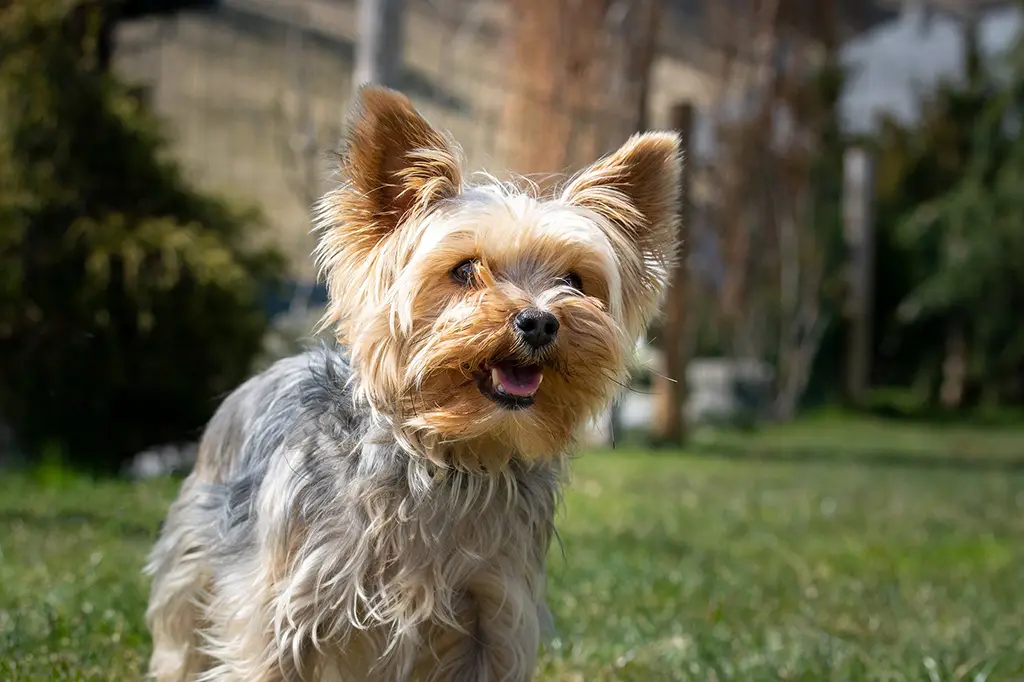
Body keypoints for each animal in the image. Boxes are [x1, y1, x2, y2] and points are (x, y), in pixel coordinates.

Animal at [146, 86, 679, 679]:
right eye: (465, 270)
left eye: (574, 281)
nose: (540, 321)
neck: (449, 458)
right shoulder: (279, 609)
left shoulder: (493, 614)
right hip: (192, 567)